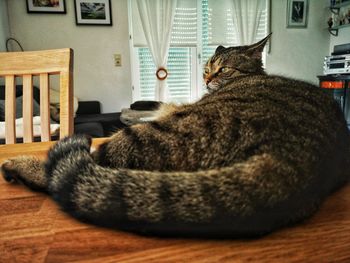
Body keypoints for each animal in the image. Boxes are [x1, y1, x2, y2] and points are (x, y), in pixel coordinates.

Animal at [2, 34, 350, 238]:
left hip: (150, 135)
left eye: (223, 69)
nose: (207, 78)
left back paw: (22, 165)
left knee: (73, 166)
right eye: (208, 66)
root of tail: (295, 155)